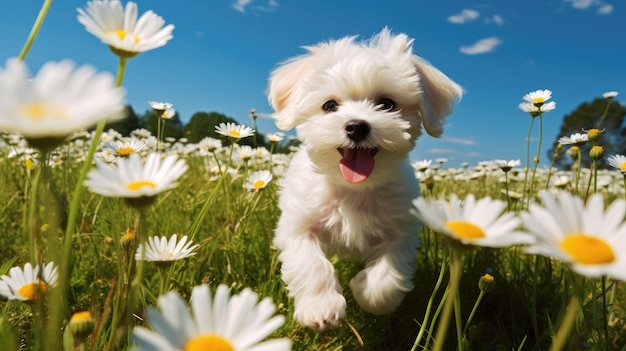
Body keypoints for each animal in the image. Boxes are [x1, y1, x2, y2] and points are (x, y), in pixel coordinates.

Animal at [266, 28, 460, 332]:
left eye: (387, 104)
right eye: (329, 105)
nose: (357, 126)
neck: (354, 187)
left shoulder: (400, 231)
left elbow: (387, 274)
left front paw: (366, 291)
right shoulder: (298, 225)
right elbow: (311, 264)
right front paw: (321, 308)